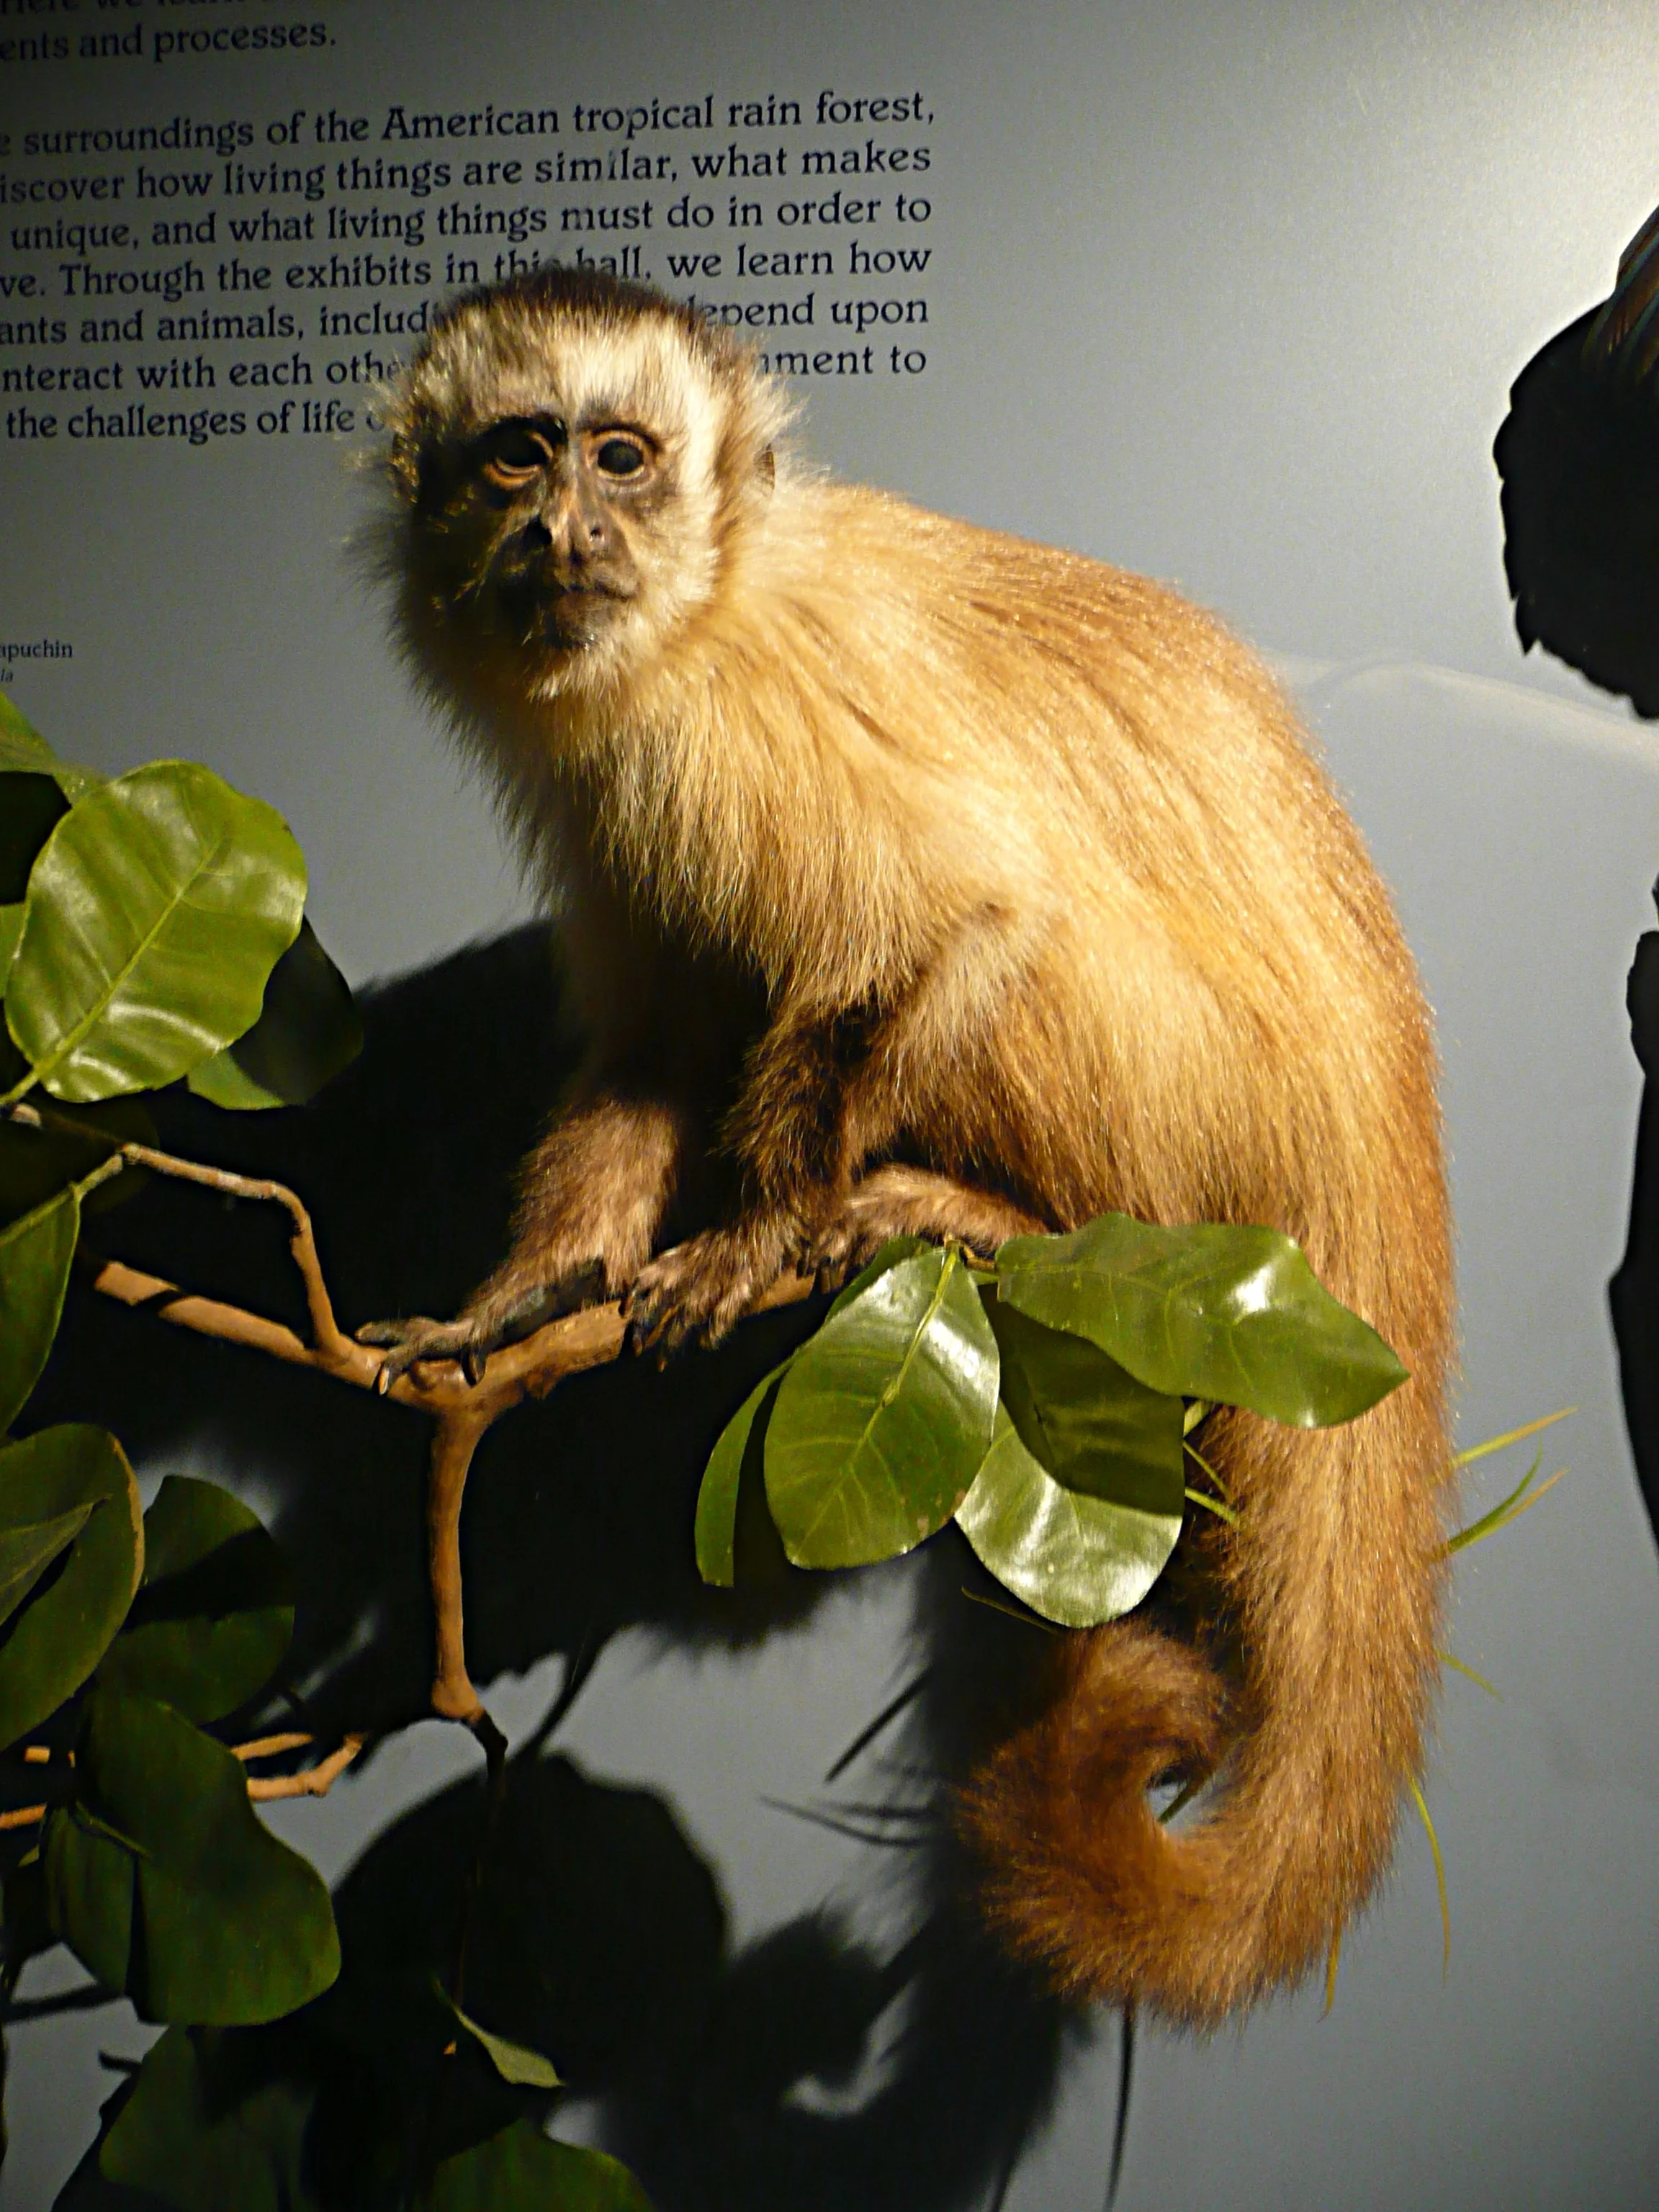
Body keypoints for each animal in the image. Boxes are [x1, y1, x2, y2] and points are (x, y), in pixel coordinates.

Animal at [362, 264, 1453, 2029]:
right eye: (519, 453)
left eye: (622, 457)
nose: (565, 532)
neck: (707, 605)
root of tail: (1382, 1098)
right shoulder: (615, 775)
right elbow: (660, 1045)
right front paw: (524, 1297)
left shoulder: (730, 724)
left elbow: (963, 909)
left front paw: (753, 1234)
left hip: (1212, 1105)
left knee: (1026, 930)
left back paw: (991, 1221)